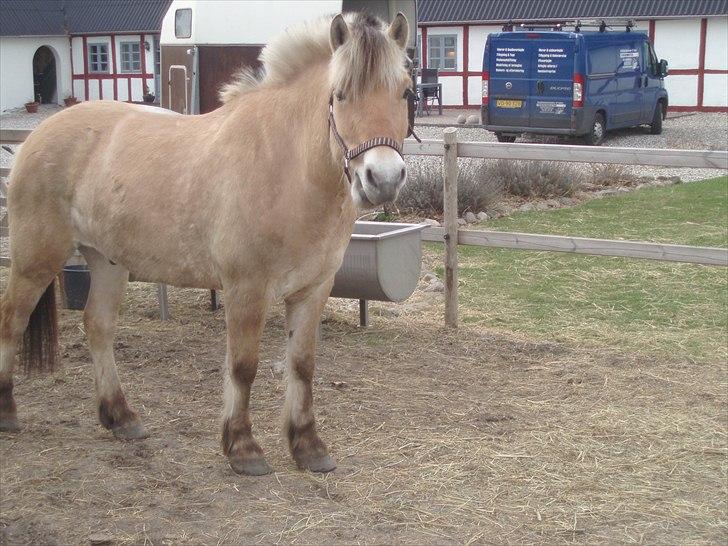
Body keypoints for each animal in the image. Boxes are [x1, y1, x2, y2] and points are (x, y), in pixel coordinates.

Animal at [0, 11, 412, 472]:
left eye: (405, 92)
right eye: (339, 95)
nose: (383, 179)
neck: (285, 167)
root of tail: (36, 136)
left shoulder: (313, 289)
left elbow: (302, 364)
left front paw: (308, 446)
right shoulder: (246, 289)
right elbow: (244, 366)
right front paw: (243, 448)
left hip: (107, 261)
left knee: (98, 326)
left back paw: (121, 417)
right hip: (35, 259)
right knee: (12, 321)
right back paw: (8, 411)